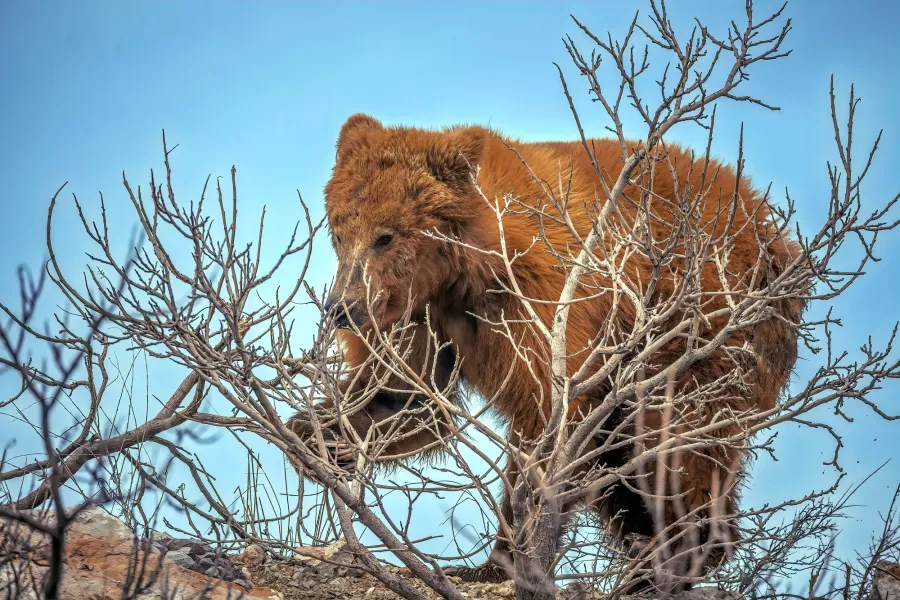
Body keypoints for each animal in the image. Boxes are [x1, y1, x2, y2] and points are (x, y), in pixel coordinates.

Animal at [287, 114, 805, 587]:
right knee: (624, 462)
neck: (465, 267)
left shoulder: (545, 301)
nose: (342, 307)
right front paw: (315, 436)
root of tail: (774, 230)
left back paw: (673, 559)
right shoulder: (420, 316)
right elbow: (407, 399)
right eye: (339, 230)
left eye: (386, 235)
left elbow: (549, 417)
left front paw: (507, 556)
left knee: (677, 435)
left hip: (705, 320)